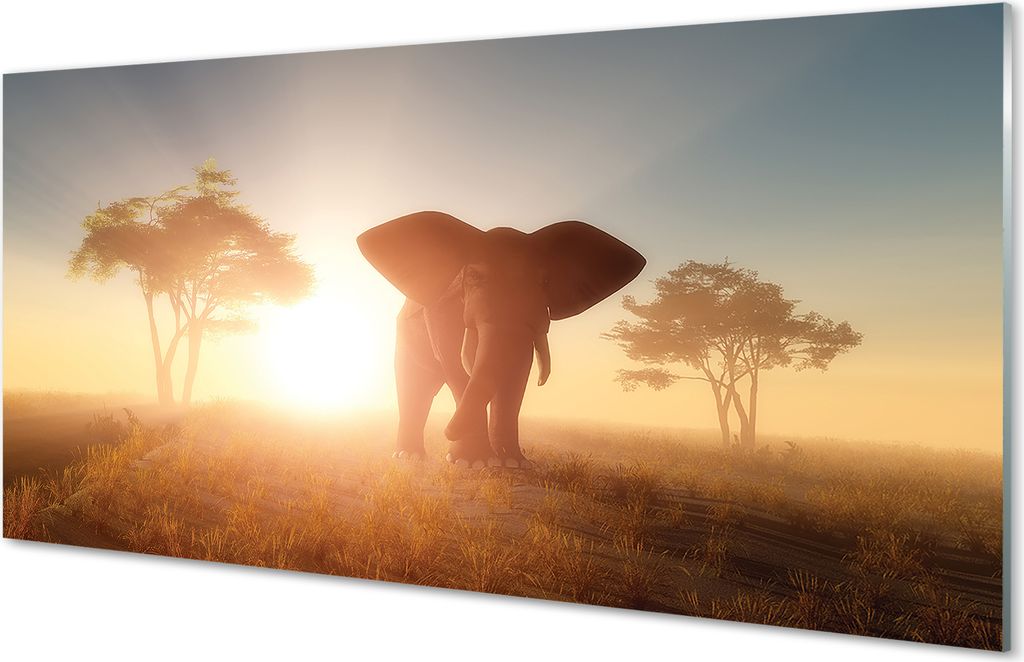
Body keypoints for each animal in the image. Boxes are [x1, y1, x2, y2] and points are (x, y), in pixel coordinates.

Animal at [357, 211, 646, 468]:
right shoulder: (442, 308)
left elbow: (517, 371)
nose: (447, 432)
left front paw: (513, 463)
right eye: (473, 276)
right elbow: (455, 363)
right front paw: (471, 462)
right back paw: (409, 457)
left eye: (545, 281)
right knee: (415, 384)